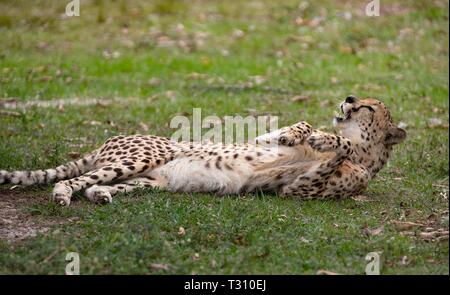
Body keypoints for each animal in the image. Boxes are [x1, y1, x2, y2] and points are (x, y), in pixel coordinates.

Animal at [0, 96, 406, 207]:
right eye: (360, 99)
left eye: (370, 108)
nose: (349, 99)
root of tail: (107, 141)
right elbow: (301, 130)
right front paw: (293, 135)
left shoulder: (296, 189)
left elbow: (341, 155)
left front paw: (335, 144)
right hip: (144, 156)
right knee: (76, 179)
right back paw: (61, 194)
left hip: (149, 180)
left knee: (94, 184)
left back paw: (98, 195)